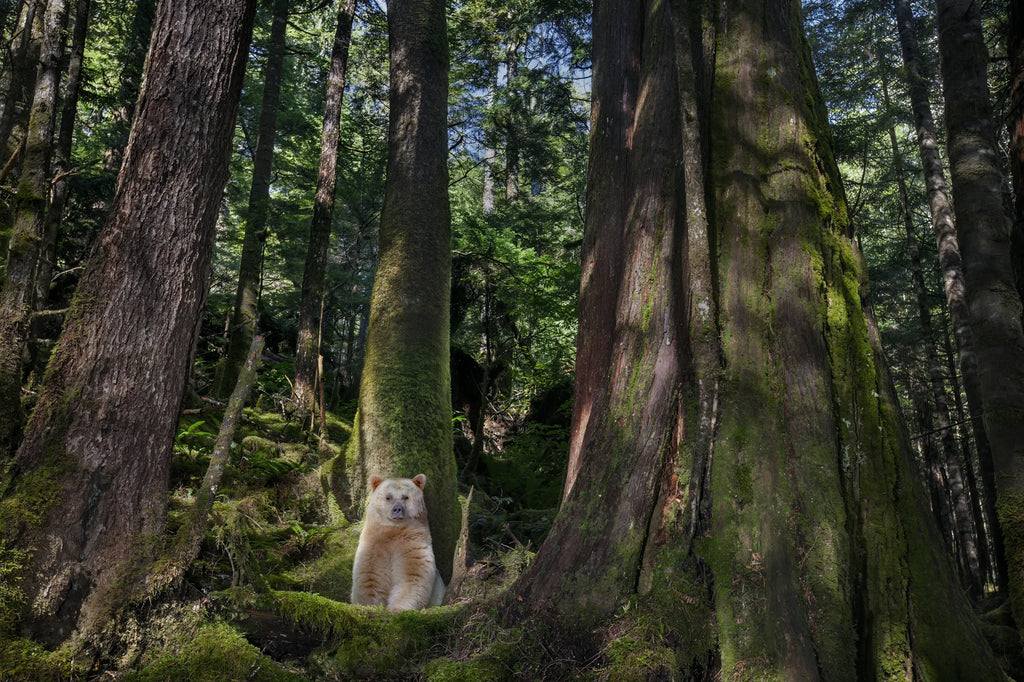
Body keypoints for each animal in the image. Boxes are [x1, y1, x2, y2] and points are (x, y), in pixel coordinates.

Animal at [350, 473, 446, 612]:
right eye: (388, 497)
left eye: (405, 497)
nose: (397, 509)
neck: (394, 531)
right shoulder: (374, 546)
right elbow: (370, 577)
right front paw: (369, 606)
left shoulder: (412, 545)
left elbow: (411, 576)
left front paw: (397, 609)